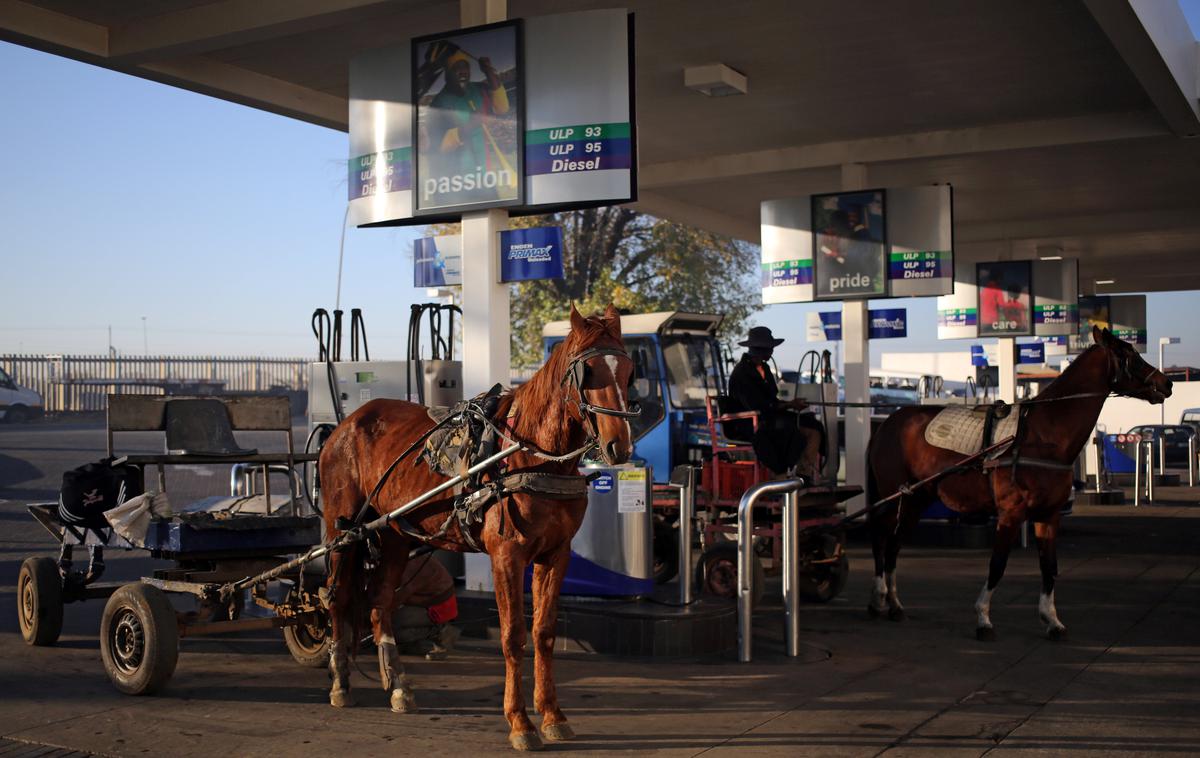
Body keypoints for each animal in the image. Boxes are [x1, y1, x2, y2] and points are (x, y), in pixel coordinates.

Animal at [319, 304, 638, 748]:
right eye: (588, 371)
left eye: (628, 371)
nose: (619, 446)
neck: (530, 456)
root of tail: (346, 425)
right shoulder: (506, 555)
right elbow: (513, 636)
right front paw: (520, 722)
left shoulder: (555, 555)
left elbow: (544, 633)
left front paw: (552, 715)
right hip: (342, 531)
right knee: (338, 597)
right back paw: (341, 684)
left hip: (394, 532)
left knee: (380, 602)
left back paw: (398, 685)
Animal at [868, 326, 1176, 638]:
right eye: (1129, 355)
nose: (1167, 382)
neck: (1043, 434)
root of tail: (888, 423)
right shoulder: (1011, 513)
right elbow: (997, 564)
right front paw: (983, 618)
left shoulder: (1049, 515)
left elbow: (1049, 566)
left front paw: (1051, 619)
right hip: (897, 496)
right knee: (881, 535)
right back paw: (879, 597)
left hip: (917, 498)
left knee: (893, 543)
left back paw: (894, 604)